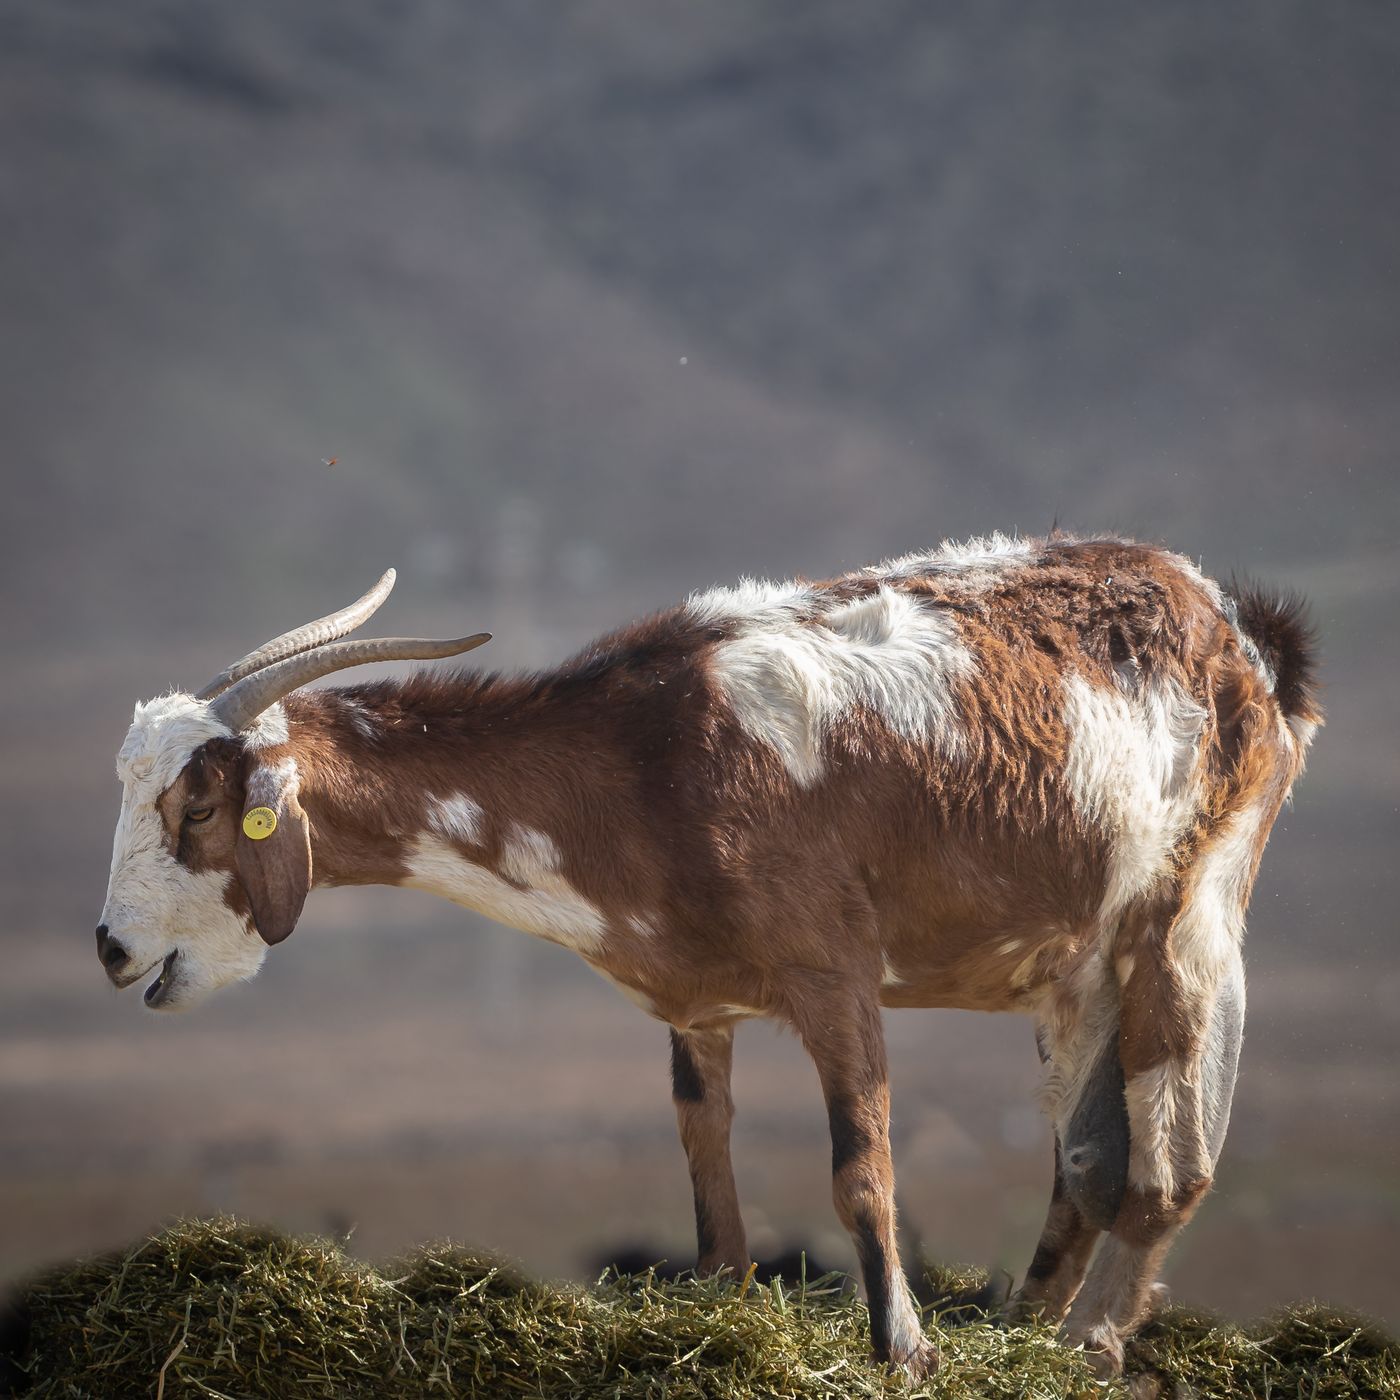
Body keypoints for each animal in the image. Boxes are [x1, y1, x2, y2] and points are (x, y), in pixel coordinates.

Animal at [97, 533, 1319, 1377]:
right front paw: (730, 1310)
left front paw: (905, 1351)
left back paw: (1089, 1348)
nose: (111, 948)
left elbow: (862, 1168)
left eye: (197, 806)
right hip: (1075, 971)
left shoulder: (835, 976)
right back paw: (1025, 1331)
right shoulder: (697, 1007)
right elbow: (706, 1166)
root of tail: (1244, 633)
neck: (648, 759)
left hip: (1188, 916)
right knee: (1085, 1160)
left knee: (1168, 1169)